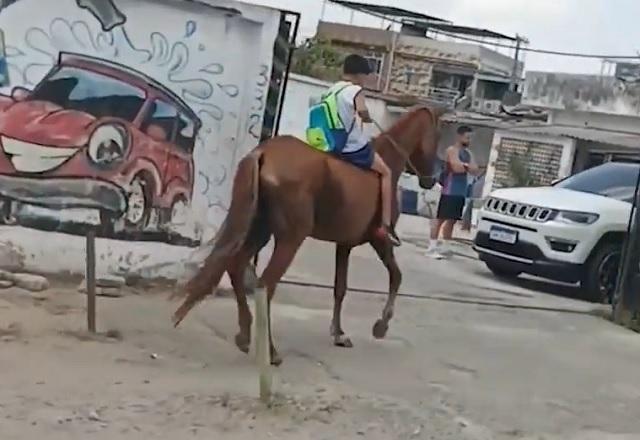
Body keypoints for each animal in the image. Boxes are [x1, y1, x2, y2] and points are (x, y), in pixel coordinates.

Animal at [172, 105, 442, 364]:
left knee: (236, 267)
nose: (431, 180)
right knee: (265, 285)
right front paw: (381, 325)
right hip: (290, 239)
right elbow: (396, 276)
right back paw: (270, 350)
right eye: (435, 138)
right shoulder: (380, 239)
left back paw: (245, 335)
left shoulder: (344, 245)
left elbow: (340, 288)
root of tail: (264, 154)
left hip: (260, 230)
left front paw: (339, 333)